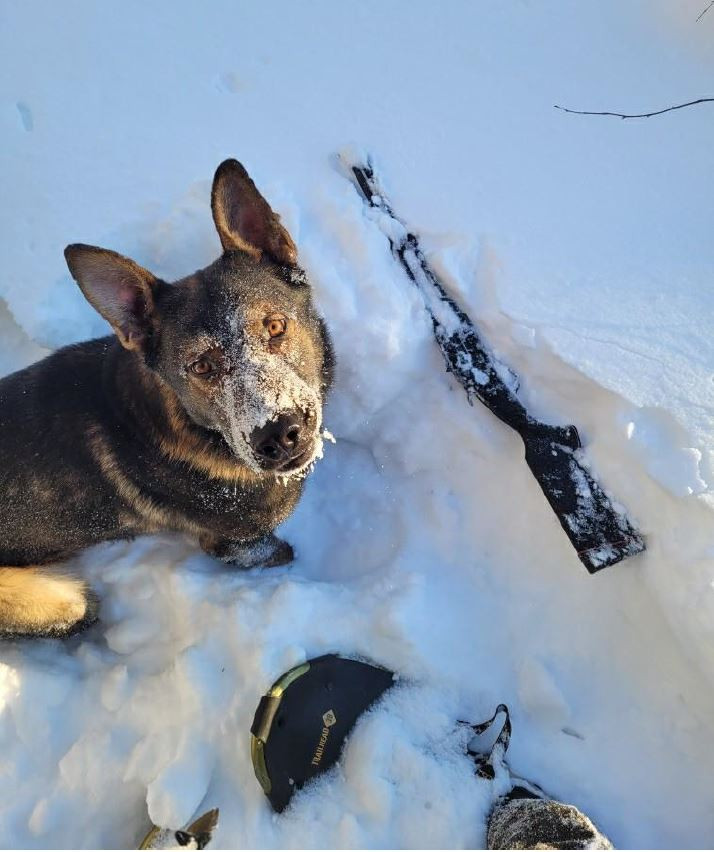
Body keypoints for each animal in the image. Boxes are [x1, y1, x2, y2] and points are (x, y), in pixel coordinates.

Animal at [0, 160, 334, 640]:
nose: (279, 434)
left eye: (274, 327)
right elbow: (272, 551)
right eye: (201, 367)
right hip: (59, 601)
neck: (197, 427)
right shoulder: (234, 543)